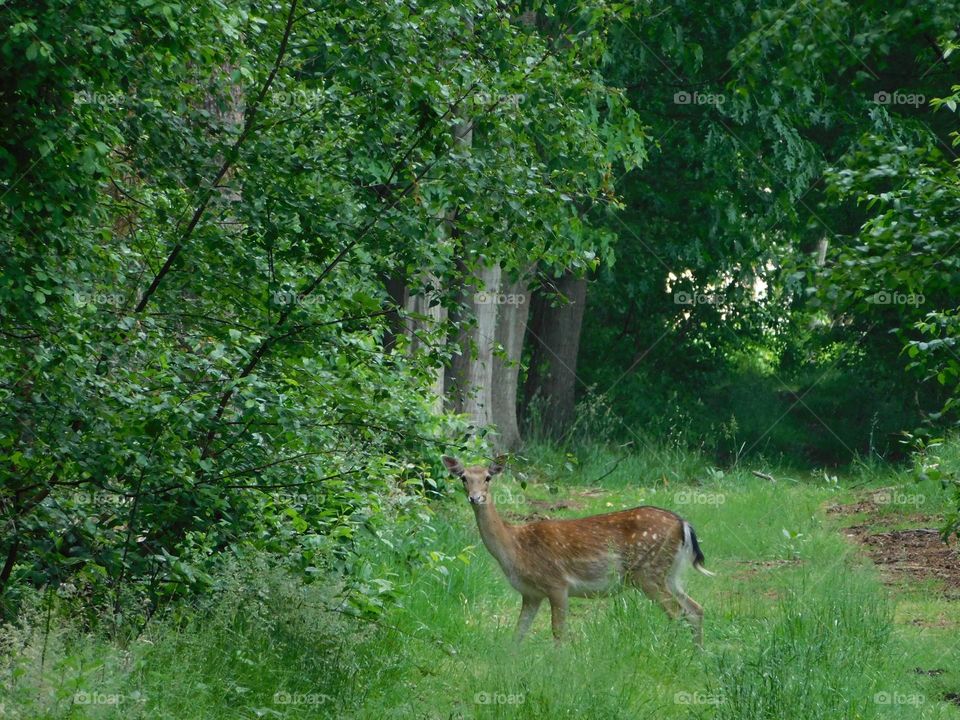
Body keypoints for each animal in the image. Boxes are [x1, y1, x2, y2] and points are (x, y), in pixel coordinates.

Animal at [442, 456, 714, 645]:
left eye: (488, 477)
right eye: (463, 477)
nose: (475, 498)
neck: (514, 547)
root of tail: (683, 524)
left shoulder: (557, 583)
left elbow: (558, 632)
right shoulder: (531, 594)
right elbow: (518, 634)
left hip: (647, 572)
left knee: (677, 613)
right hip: (669, 573)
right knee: (695, 609)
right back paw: (697, 654)